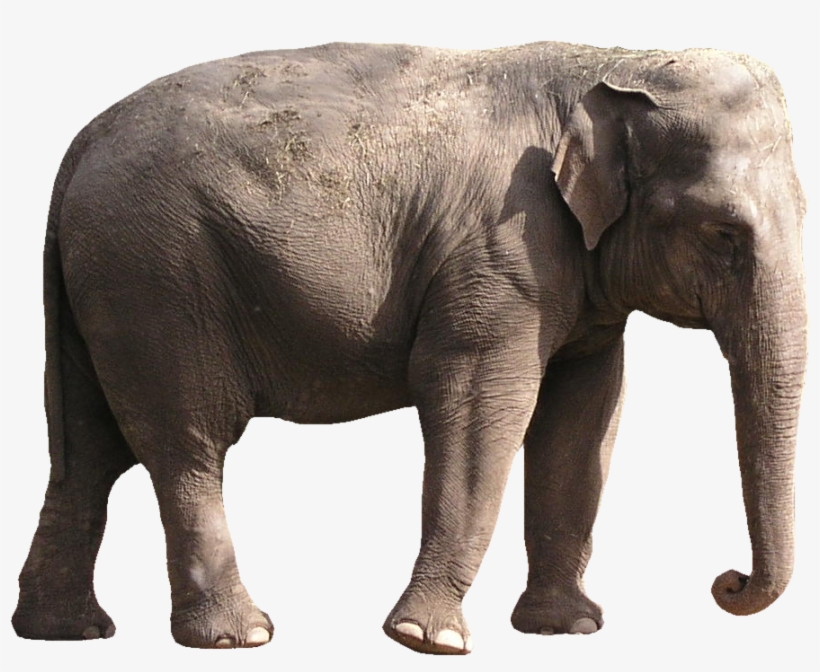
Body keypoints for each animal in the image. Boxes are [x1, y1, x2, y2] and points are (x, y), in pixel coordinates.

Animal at [12, 41, 807, 654]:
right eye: (724, 233)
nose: (727, 580)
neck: (610, 60)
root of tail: (77, 149)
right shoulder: (500, 253)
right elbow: (481, 406)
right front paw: (432, 640)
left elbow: (584, 421)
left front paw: (568, 630)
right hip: (158, 281)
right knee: (187, 444)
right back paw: (239, 637)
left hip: (104, 289)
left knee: (89, 451)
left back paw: (66, 633)